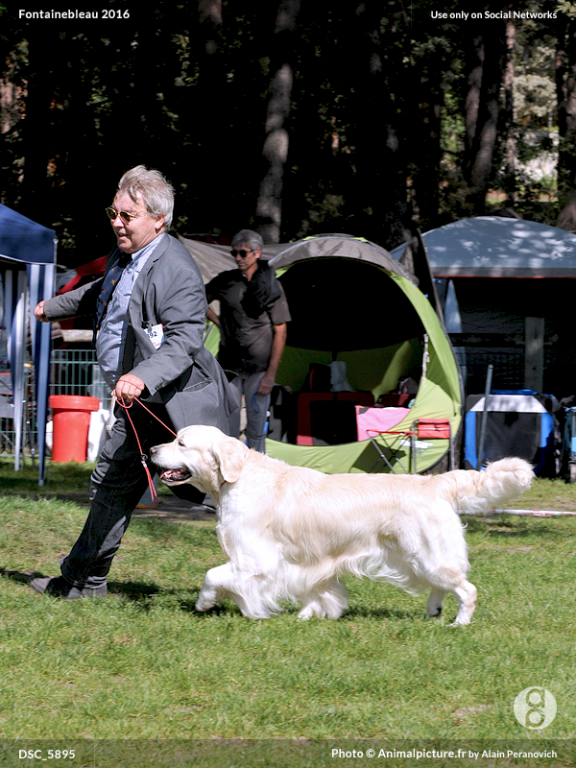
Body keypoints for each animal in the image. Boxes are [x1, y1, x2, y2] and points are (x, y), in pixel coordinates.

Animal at [151, 424, 532, 628]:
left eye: (181, 442)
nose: (151, 449)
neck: (238, 479)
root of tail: (434, 481)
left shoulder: (256, 559)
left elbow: (213, 575)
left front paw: (205, 602)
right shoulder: (308, 560)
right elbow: (318, 589)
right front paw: (313, 612)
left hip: (426, 553)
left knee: (467, 589)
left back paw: (459, 623)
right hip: (415, 556)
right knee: (441, 586)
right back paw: (434, 610)